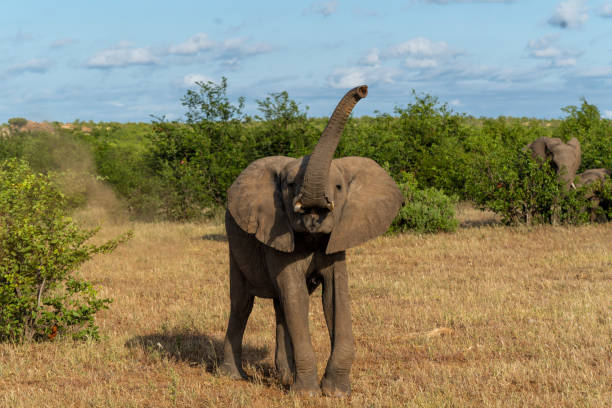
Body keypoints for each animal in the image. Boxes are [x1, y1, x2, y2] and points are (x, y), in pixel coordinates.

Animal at [219, 85, 402, 396]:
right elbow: (296, 295)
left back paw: (284, 378)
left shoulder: (338, 237)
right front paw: (306, 393)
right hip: (234, 238)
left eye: (339, 187)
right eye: (290, 185)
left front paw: (337, 392)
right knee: (243, 303)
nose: (363, 89)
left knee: (280, 306)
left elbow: (335, 296)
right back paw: (234, 377)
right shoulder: (278, 234)